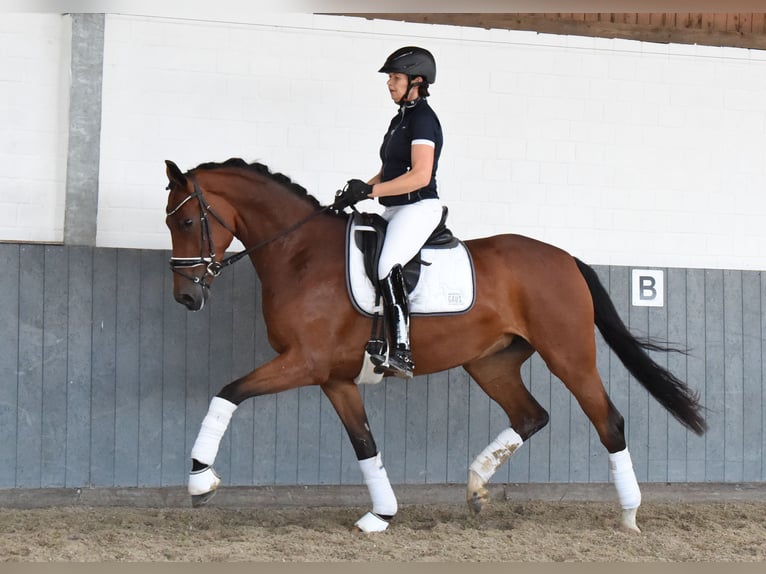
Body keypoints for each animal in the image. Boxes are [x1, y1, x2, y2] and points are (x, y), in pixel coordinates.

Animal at [164, 156, 708, 536]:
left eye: (187, 222)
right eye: (170, 224)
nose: (187, 298)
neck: (299, 255)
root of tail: (566, 258)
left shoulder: (304, 362)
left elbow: (227, 393)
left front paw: (200, 479)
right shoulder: (335, 377)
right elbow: (365, 444)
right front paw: (381, 515)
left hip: (569, 356)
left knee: (608, 421)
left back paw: (629, 516)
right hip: (491, 363)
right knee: (530, 415)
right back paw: (476, 489)